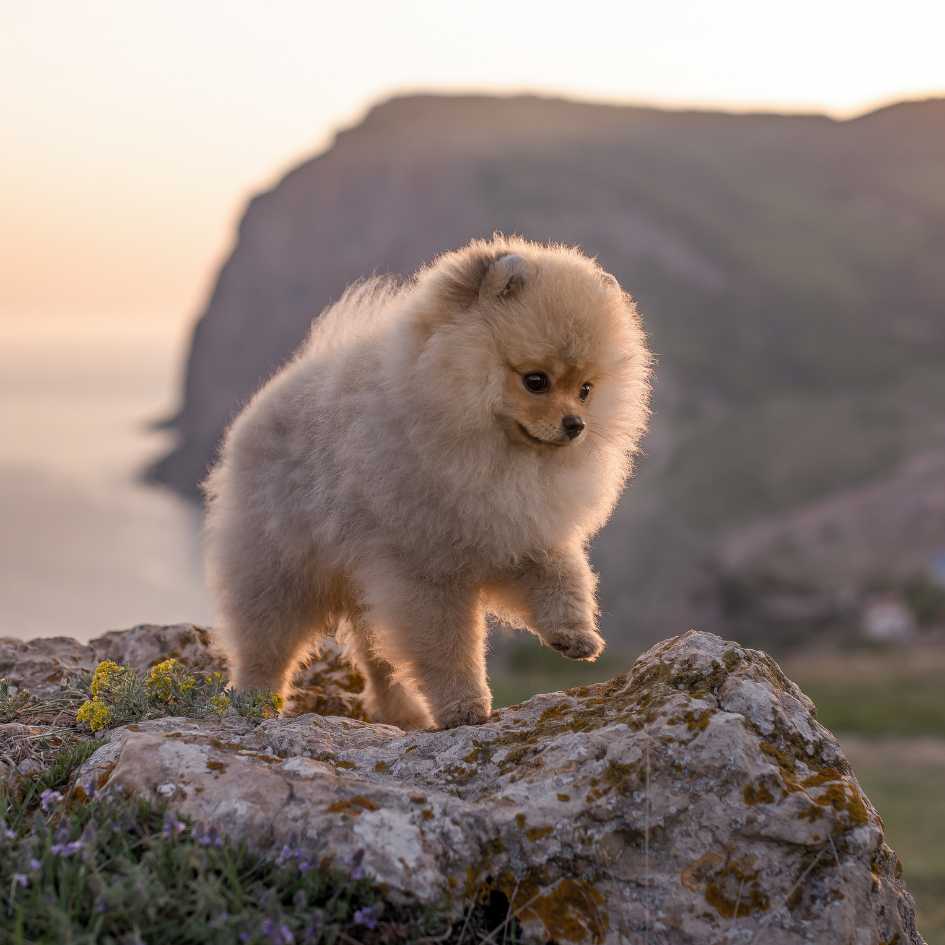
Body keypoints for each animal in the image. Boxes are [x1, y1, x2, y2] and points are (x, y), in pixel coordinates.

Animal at [205, 236, 648, 732]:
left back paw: (402, 713)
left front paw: (575, 633)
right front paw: (463, 706)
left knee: (376, 655)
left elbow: (563, 575)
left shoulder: (518, 530)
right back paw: (256, 703)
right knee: (266, 643)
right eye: (536, 381)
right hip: (278, 567)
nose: (576, 425)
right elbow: (445, 645)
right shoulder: (425, 567)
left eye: (586, 389)